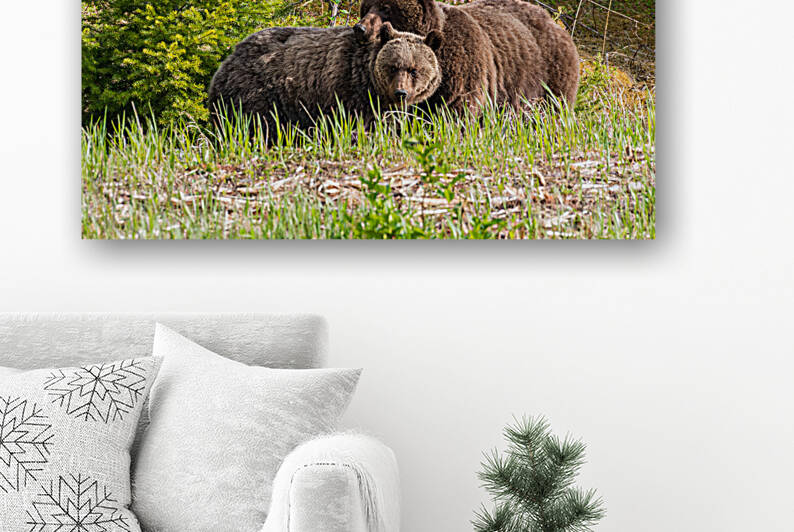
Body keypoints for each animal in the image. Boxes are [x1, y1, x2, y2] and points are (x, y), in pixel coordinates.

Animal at [207, 22, 443, 139]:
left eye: (414, 69)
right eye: (393, 66)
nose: (401, 93)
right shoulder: (343, 90)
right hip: (257, 93)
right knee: (257, 126)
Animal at [355, 0, 580, 113]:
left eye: (386, 7)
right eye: (365, 7)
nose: (360, 28)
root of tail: (552, 20)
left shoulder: (463, 73)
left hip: (547, 76)